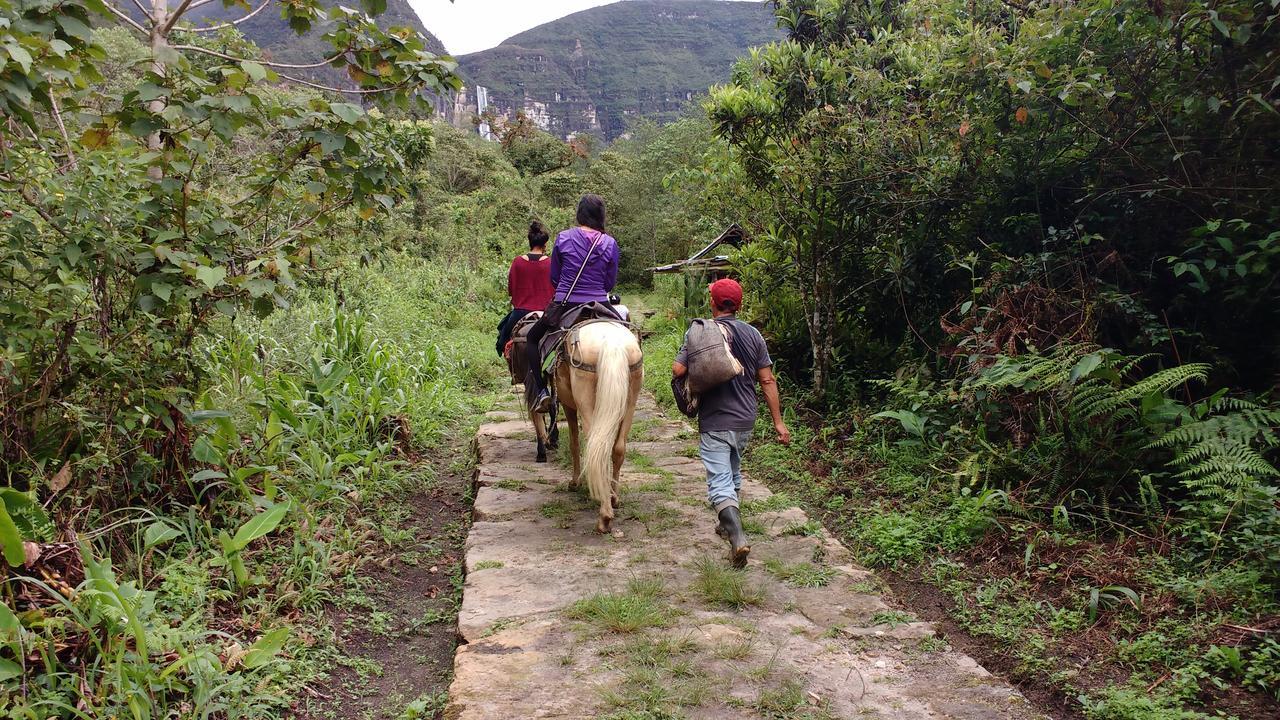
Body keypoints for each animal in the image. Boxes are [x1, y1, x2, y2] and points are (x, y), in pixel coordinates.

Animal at [558, 319, 645, 532]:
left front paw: (574, 482)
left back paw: (604, 516)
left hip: (586, 400)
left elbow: (574, 443)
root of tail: (611, 343)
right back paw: (613, 499)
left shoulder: (567, 405)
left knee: (596, 448)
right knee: (618, 449)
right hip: (631, 399)